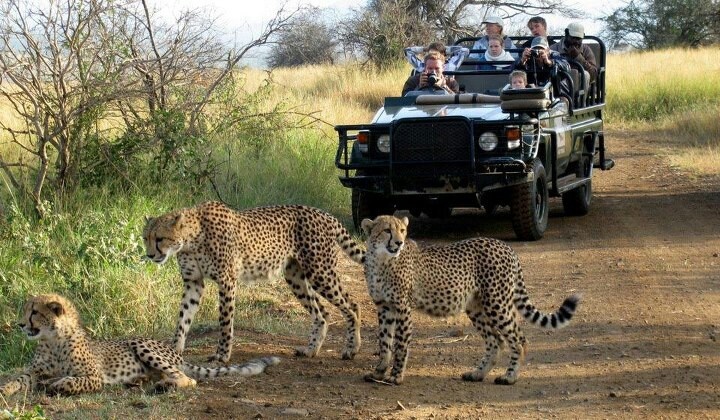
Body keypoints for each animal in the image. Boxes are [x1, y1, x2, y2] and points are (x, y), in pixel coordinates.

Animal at [0, 294, 280, 397]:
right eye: (26, 310)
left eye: (34, 312)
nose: (20, 325)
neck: (53, 340)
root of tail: (176, 354)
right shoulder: (35, 371)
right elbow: (19, 378)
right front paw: (5, 389)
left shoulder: (94, 376)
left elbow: (74, 380)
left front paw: (58, 385)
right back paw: (141, 380)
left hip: (140, 344)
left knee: (188, 379)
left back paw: (165, 385)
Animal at [142, 201, 365, 364]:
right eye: (146, 238)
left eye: (160, 238)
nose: (150, 255)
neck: (191, 239)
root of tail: (325, 214)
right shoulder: (193, 282)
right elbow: (183, 318)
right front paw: (174, 350)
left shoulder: (226, 281)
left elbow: (225, 321)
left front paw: (222, 354)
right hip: (295, 276)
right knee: (322, 313)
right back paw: (311, 350)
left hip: (320, 273)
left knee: (352, 306)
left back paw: (351, 349)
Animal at [361, 215, 580, 386]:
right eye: (387, 230)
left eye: (402, 230)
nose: (399, 242)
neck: (381, 260)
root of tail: (505, 246)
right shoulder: (384, 307)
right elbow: (384, 342)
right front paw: (378, 372)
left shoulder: (402, 308)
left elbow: (400, 344)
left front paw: (396, 376)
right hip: (476, 307)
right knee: (496, 341)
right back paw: (477, 373)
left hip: (497, 303)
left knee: (518, 340)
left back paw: (509, 376)